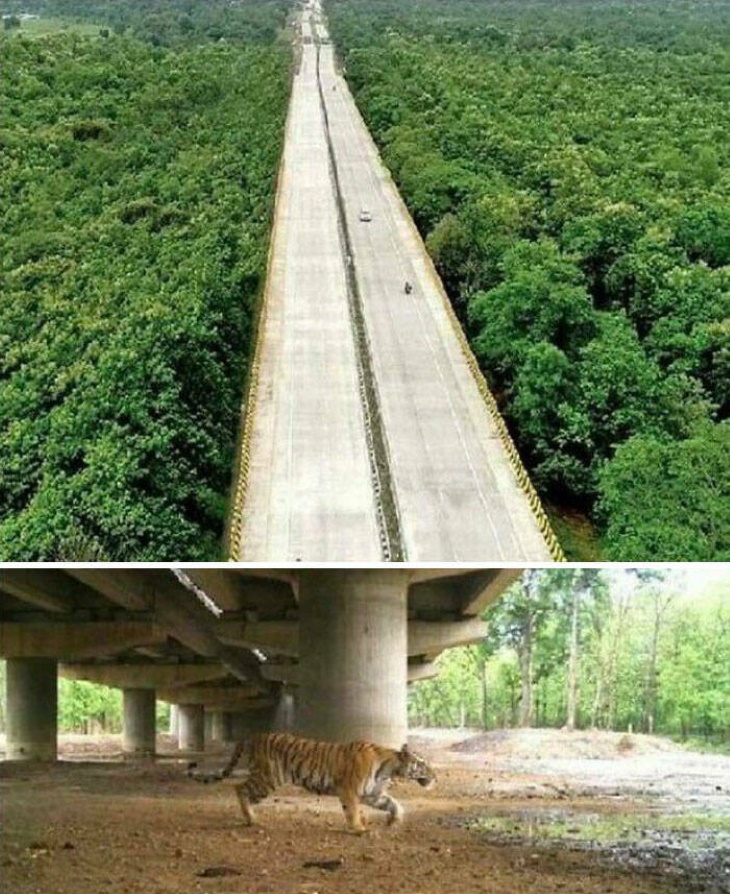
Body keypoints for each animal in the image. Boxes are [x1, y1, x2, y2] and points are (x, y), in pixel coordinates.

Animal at [186, 732, 432, 836]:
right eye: (423, 764)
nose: (435, 777)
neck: (389, 768)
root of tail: (254, 735)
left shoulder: (373, 794)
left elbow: (395, 804)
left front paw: (394, 821)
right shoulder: (349, 791)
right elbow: (352, 811)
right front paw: (359, 829)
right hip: (267, 780)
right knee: (239, 788)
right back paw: (251, 819)